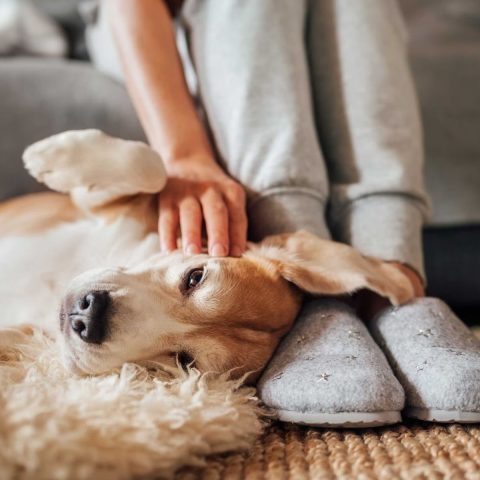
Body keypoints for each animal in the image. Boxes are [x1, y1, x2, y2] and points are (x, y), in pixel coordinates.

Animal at [0, 129, 412, 380]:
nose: (88, 315)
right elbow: (150, 166)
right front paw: (53, 156)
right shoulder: (103, 207)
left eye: (185, 360)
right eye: (195, 277)